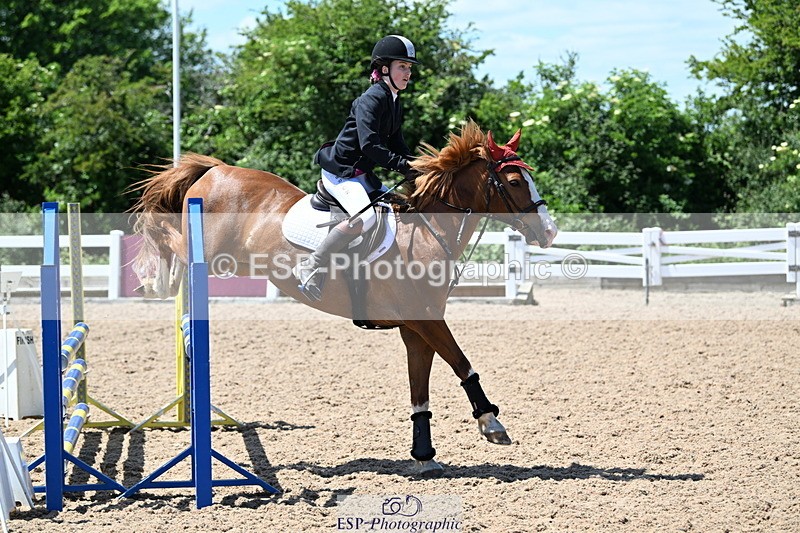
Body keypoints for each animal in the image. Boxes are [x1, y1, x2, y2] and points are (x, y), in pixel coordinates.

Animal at [131, 120, 558, 475]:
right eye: (515, 182)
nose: (550, 231)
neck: (426, 233)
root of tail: (215, 170)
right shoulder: (426, 318)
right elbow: (463, 364)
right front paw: (492, 423)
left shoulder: (414, 328)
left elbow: (419, 390)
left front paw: (424, 456)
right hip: (210, 251)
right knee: (171, 244)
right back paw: (154, 278)